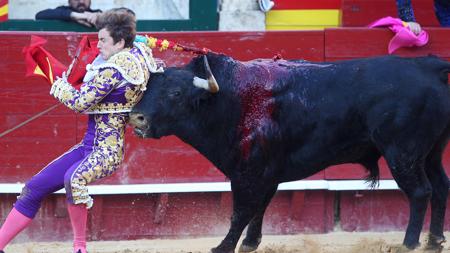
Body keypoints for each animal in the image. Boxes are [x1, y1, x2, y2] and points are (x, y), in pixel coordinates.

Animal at [129, 52, 450, 252]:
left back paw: (409, 244)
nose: (137, 118)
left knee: (420, 192)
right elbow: (259, 207)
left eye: (175, 94)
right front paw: (250, 243)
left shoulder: (247, 172)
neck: (231, 100)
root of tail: (427, 67)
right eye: (146, 89)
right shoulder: (267, 173)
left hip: (403, 153)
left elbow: (241, 211)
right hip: (431, 154)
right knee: (441, 187)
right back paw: (434, 241)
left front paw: (223, 246)